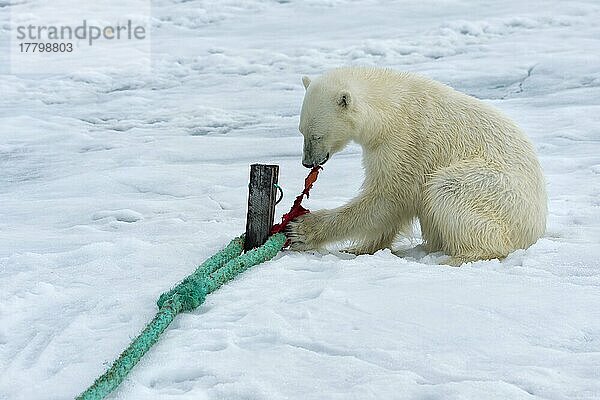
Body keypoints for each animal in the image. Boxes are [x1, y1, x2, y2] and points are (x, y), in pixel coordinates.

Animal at [288, 67, 548, 264]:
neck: (391, 107)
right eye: (301, 131)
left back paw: (458, 257)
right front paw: (359, 248)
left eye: (317, 135)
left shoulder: (406, 142)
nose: (307, 162)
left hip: (496, 192)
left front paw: (300, 230)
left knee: (448, 188)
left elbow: (389, 197)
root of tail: (535, 229)